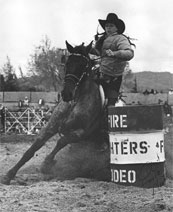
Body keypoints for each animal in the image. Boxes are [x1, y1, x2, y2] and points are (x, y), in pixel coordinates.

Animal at [0, 41, 107, 184]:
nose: (67, 93)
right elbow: (33, 148)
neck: (76, 102)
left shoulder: (80, 133)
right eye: (67, 63)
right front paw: (9, 174)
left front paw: (46, 163)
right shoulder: (50, 126)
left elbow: (61, 141)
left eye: (83, 65)